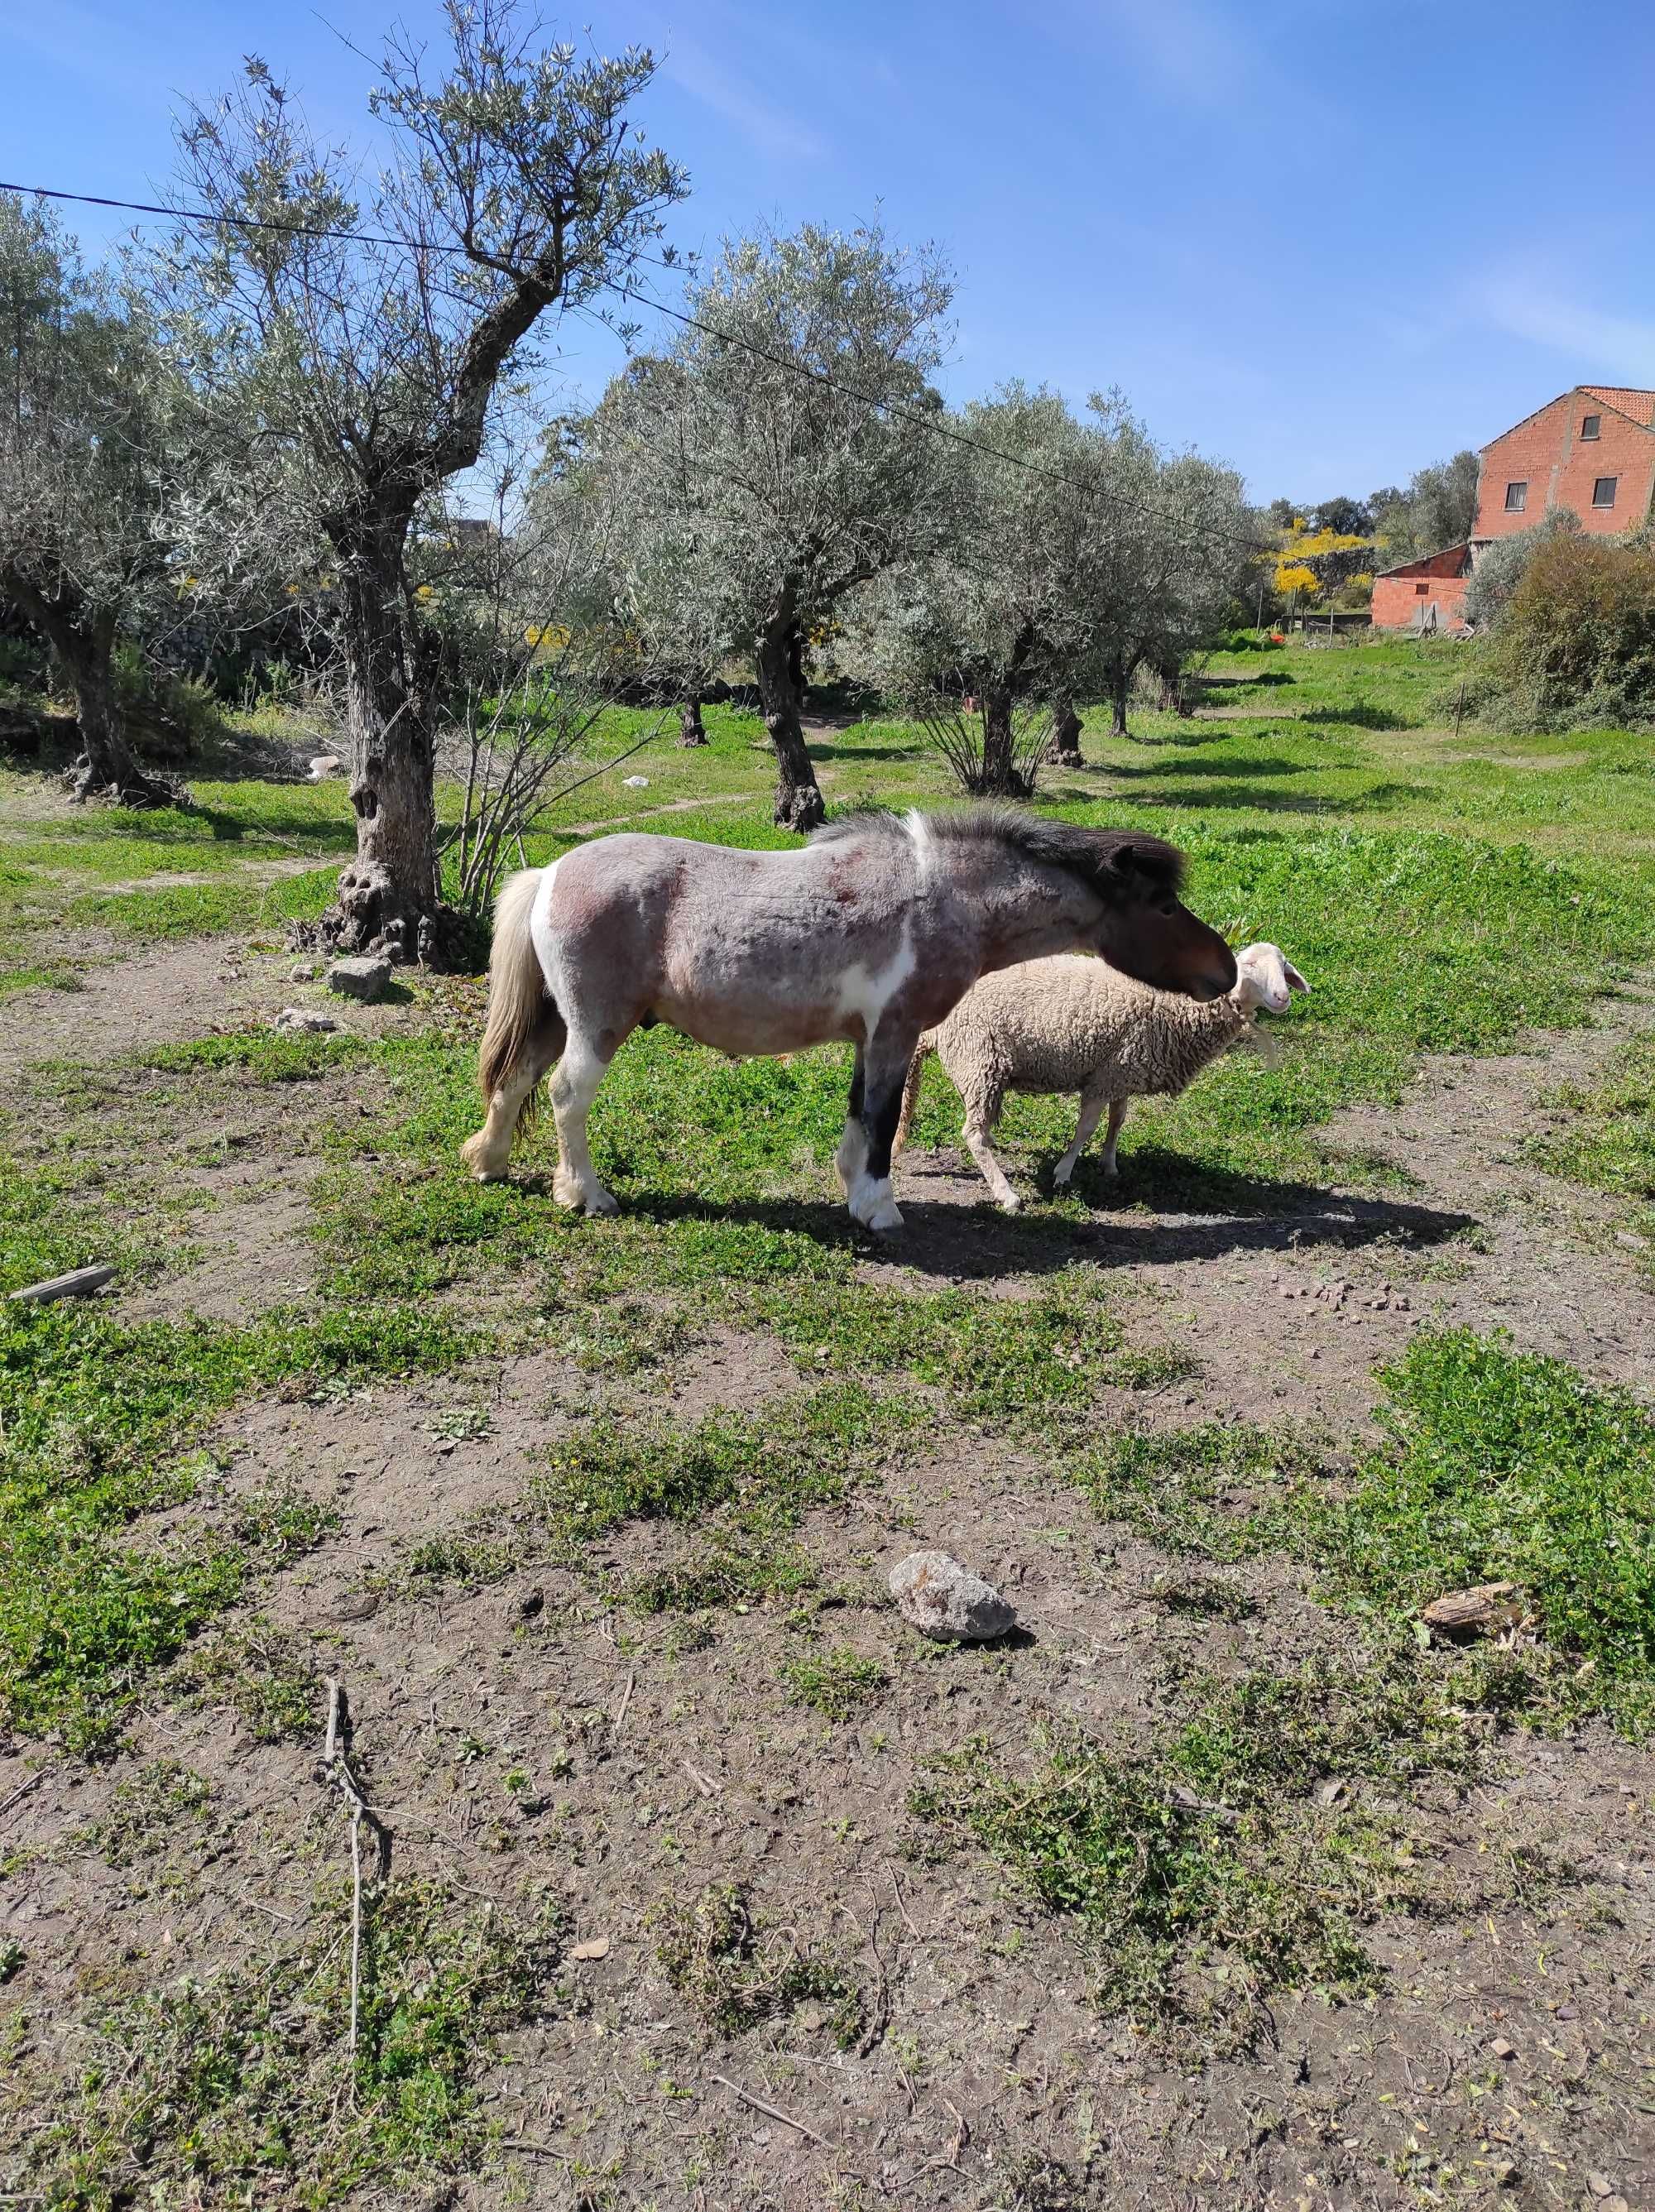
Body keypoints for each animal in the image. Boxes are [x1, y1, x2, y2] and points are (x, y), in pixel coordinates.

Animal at [458, 809, 1239, 1238]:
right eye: (1165, 905)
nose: (1225, 970)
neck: (940, 895)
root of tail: (550, 874)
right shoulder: (896, 1033)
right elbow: (883, 1121)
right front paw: (880, 1208)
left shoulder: (871, 1039)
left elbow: (861, 1117)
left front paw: (853, 1191)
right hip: (596, 1028)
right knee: (566, 1097)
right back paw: (586, 1195)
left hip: (557, 1020)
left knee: (515, 1079)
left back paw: (490, 1163)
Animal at [894, 933, 1309, 1212]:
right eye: (1249, 967)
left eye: (1284, 968)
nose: (1282, 998)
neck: (1178, 1004)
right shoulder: (1102, 1078)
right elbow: (1086, 1128)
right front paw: (1063, 1172)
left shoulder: (1122, 1070)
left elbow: (1117, 1121)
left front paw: (1110, 1165)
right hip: (979, 1057)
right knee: (974, 1135)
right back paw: (1006, 1193)